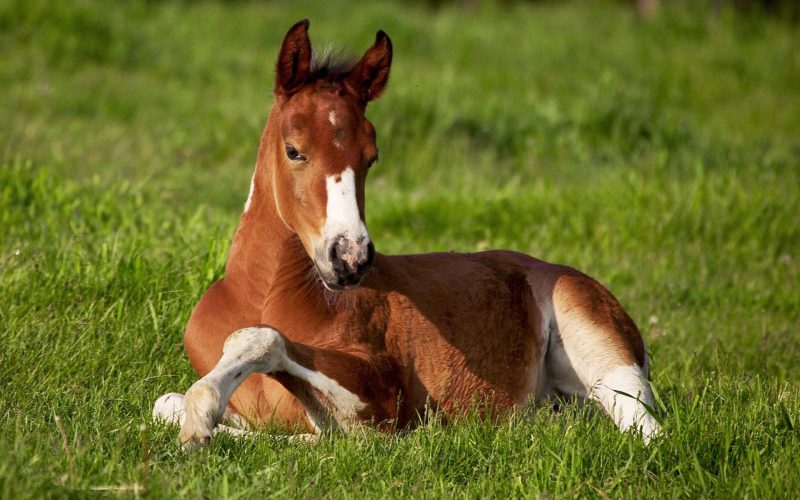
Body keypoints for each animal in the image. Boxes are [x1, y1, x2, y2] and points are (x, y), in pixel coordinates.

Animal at [153, 19, 661, 449]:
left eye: (371, 157)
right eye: (294, 150)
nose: (350, 257)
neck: (263, 295)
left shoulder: (381, 398)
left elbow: (266, 346)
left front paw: (202, 418)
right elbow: (164, 404)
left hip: (600, 345)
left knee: (646, 429)